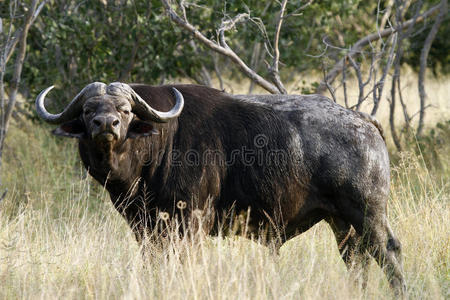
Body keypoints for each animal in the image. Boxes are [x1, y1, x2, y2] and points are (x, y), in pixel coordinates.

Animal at [36, 82, 404, 296]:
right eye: (88, 110)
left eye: (125, 110)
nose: (106, 125)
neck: (159, 147)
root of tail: (363, 121)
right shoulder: (145, 226)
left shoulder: (192, 221)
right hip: (342, 223)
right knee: (356, 260)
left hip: (367, 213)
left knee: (389, 252)